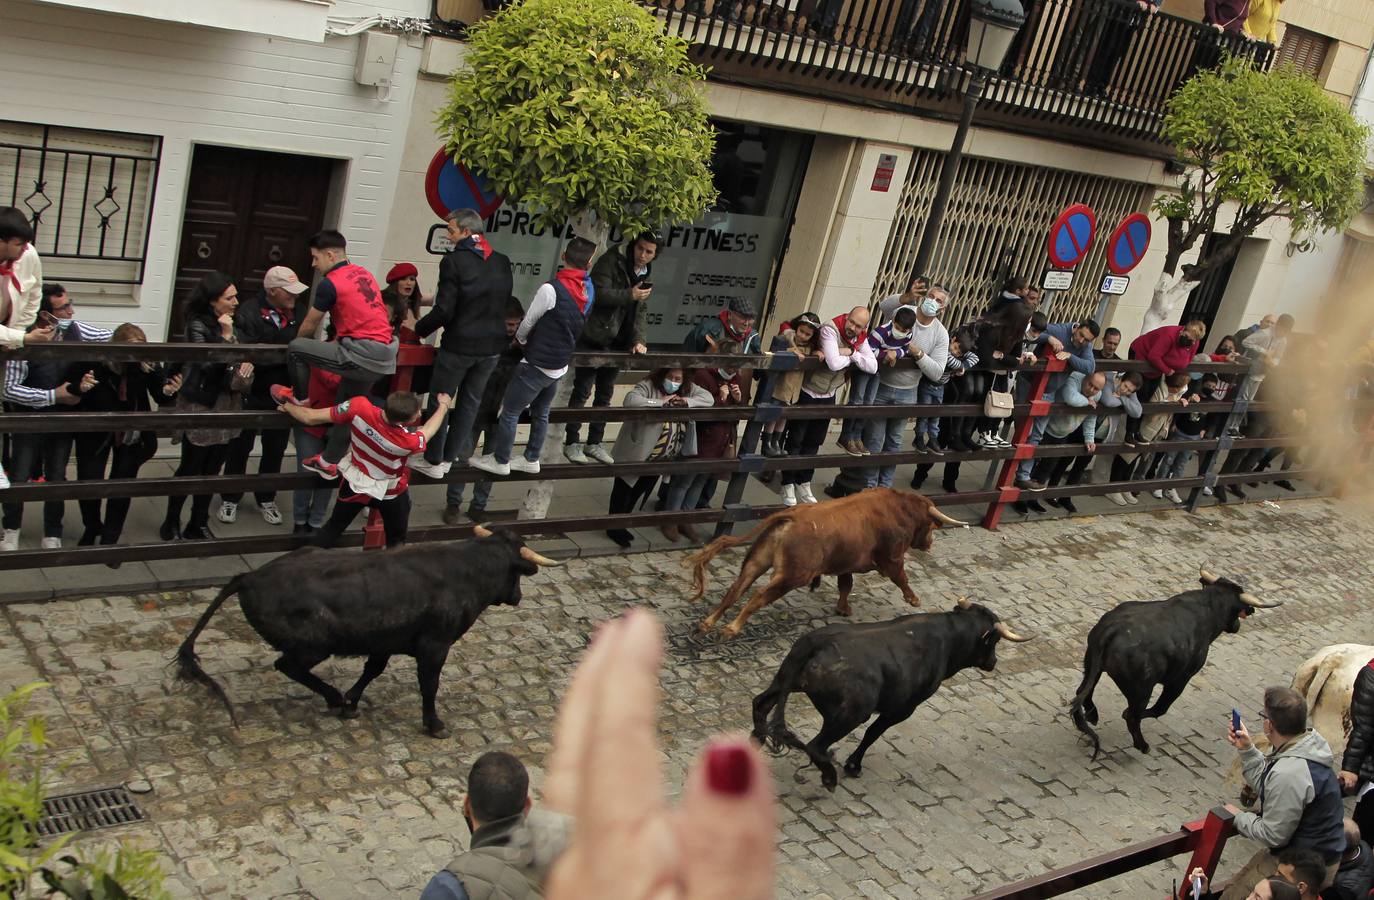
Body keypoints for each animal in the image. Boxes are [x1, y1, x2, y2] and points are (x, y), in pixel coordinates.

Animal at [177, 527, 557, 741]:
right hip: (313, 646)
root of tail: (250, 577)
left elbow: (372, 670)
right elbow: (429, 684)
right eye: (517, 572)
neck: (466, 570)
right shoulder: (435, 646)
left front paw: (353, 701)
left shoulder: (385, 641)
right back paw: (332, 697)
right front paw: (434, 724)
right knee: (289, 666)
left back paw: (339, 700)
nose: (518, 597)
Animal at [684, 486, 967, 640]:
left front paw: (843, 608)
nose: (930, 544)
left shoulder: (847, 563)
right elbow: (901, 578)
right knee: (758, 596)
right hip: (791, 575)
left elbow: (846, 584)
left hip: (757, 561)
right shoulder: (892, 559)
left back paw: (706, 625)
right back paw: (731, 629)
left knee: (736, 590)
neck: (898, 509)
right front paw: (914, 599)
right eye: (931, 526)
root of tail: (790, 515)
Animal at [752, 601, 1033, 791]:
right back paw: (829, 777)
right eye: (995, 641)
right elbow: (872, 733)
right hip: (852, 713)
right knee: (816, 745)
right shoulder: (902, 708)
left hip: (783, 682)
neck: (949, 637)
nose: (993, 662)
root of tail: (818, 643)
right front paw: (853, 766)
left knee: (760, 705)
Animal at [1066, 571, 1280, 758]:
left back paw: (1091, 717)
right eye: (1238, 611)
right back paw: (1142, 745)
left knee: (1083, 692)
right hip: (1141, 690)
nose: (1236, 626)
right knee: (1133, 715)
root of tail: (1113, 630)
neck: (1208, 607)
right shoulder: (1180, 680)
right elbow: (1160, 708)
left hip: (1092, 665)